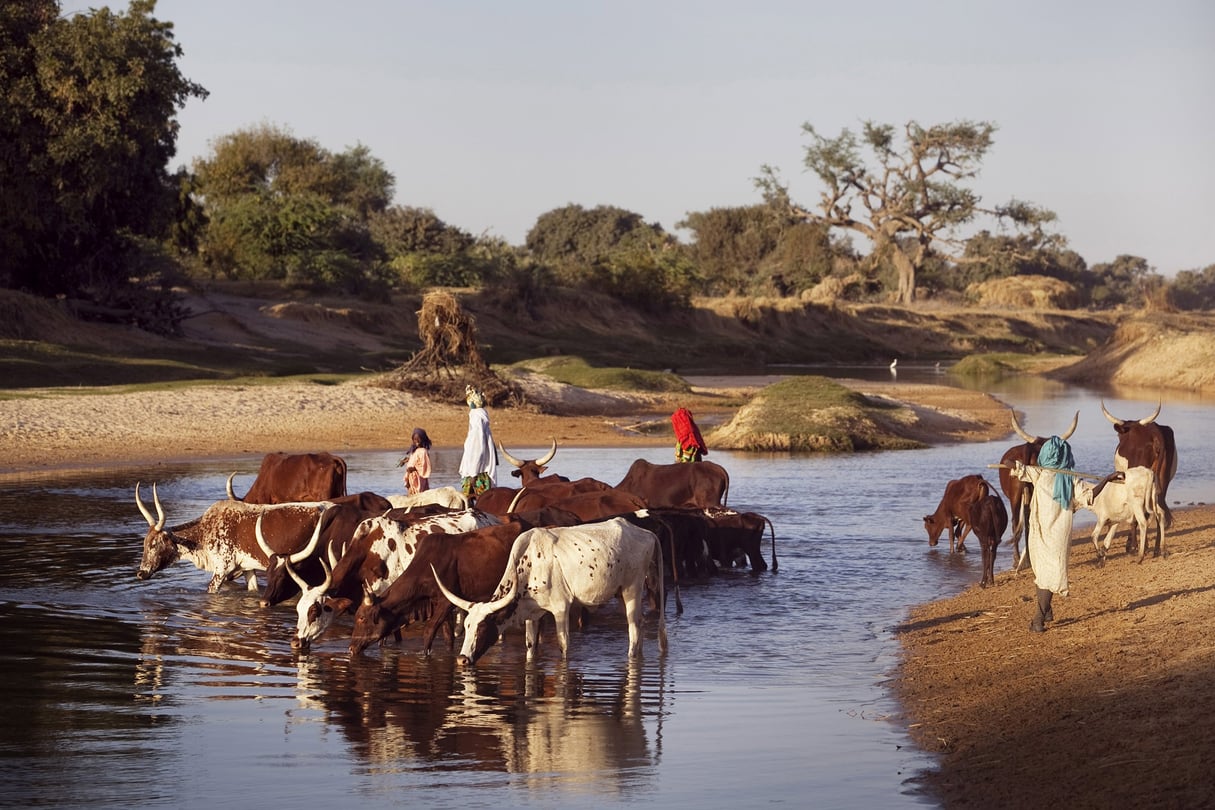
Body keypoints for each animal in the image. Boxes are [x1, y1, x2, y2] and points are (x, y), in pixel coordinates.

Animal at [135, 480, 328, 595]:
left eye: (154, 544)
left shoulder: (222, 569)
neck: (204, 533)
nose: (140, 573)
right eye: (144, 544)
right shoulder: (248, 568)